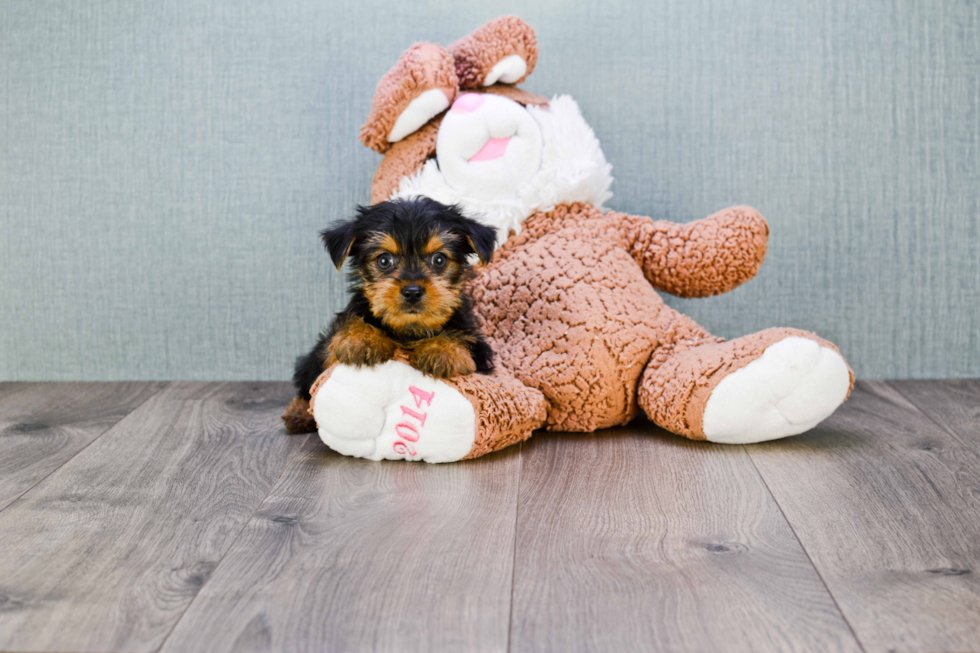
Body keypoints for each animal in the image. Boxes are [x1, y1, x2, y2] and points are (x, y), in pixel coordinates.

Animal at [282, 199, 498, 432]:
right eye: (384, 260)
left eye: (439, 259)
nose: (412, 291)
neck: (409, 328)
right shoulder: (332, 346)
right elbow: (346, 333)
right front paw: (362, 339)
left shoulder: (479, 348)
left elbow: (463, 338)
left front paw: (442, 350)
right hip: (311, 360)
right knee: (307, 385)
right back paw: (299, 412)